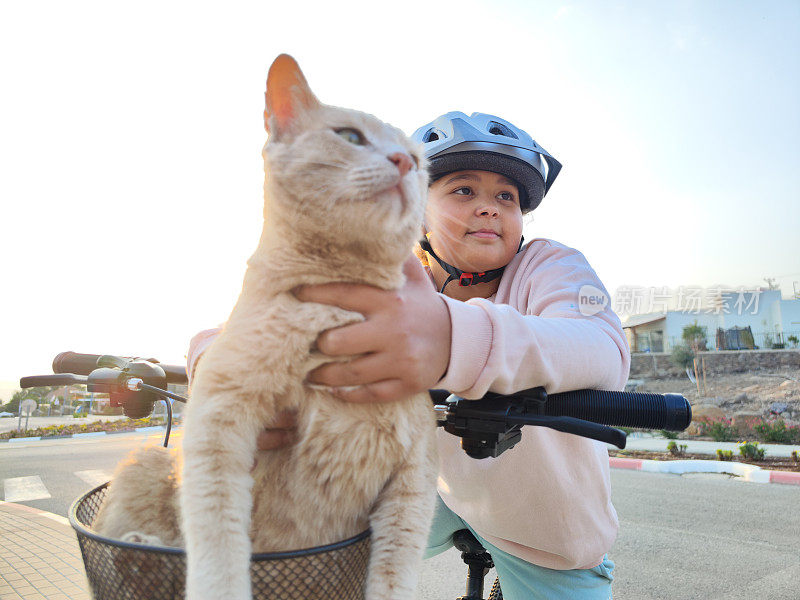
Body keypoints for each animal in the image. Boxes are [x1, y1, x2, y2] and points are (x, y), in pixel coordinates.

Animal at [96, 52, 440, 600]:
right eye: (350, 136)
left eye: (417, 158)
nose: (405, 163)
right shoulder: (218, 421)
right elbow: (218, 544)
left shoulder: (415, 479)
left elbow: (393, 574)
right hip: (148, 460)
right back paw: (136, 556)